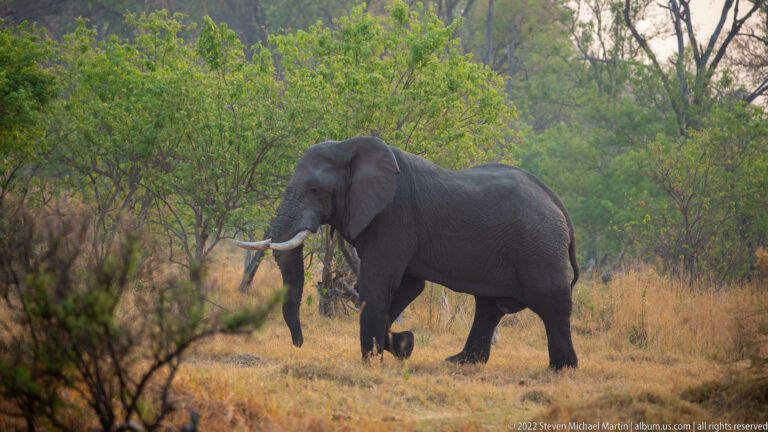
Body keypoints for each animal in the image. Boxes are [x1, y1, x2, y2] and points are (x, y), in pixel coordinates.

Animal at [235, 136, 579, 369]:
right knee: (489, 306)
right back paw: (459, 362)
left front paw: (370, 359)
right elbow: (409, 286)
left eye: (316, 190)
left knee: (550, 302)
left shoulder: (392, 216)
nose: (299, 344)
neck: (349, 147)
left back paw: (562, 368)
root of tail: (558, 203)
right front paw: (404, 345)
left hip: (539, 246)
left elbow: (376, 283)